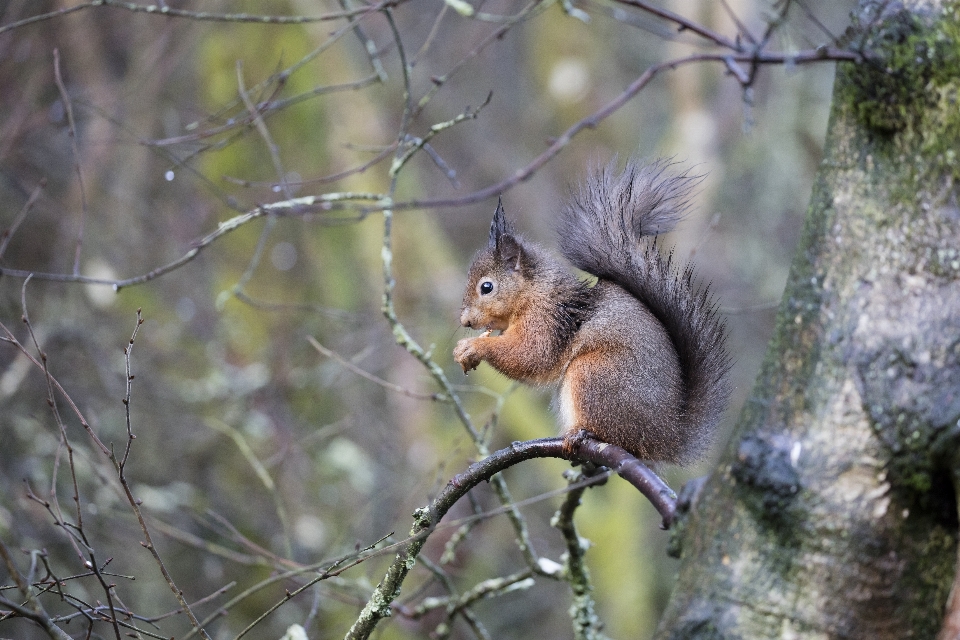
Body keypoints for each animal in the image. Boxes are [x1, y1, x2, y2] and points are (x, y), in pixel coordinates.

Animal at [454, 158, 732, 462]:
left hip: (594, 374)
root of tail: (665, 436)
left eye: (487, 287)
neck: (533, 292)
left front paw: (473, 347)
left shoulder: (547, 319)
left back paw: (582, 433)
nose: (465, 321)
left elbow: (532, 356)